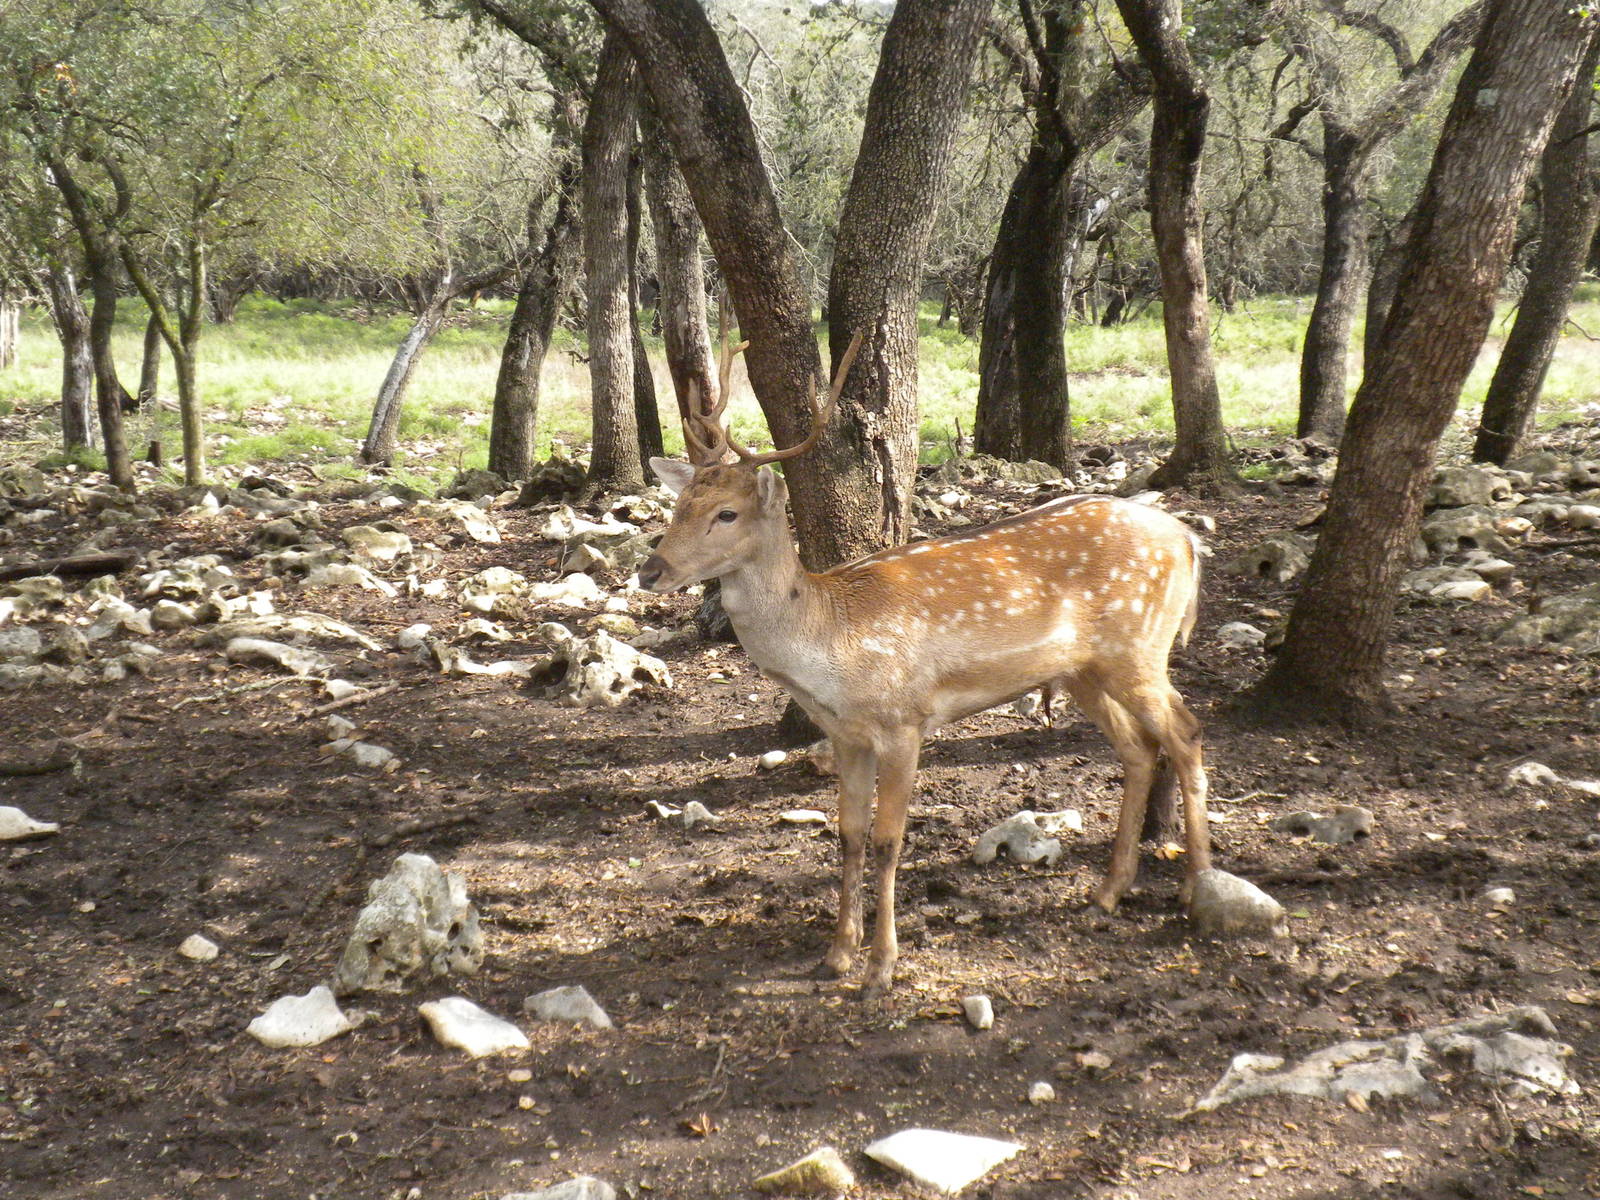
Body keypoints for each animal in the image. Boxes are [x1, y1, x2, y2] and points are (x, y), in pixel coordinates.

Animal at [638, 333, 1211, 999]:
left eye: (726, 514)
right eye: (679, 504)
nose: (650, 570)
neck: (832, 645)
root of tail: (1188, 541)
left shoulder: (903, 720)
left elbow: (888, 841)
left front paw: (881, 968)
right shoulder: (845, 734)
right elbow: (848, 833)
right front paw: (837, 954)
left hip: (1140, 646)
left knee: (1185, 733)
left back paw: (1197, 888)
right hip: (1085, 670)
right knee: (1139, 749)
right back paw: (1108, 891)